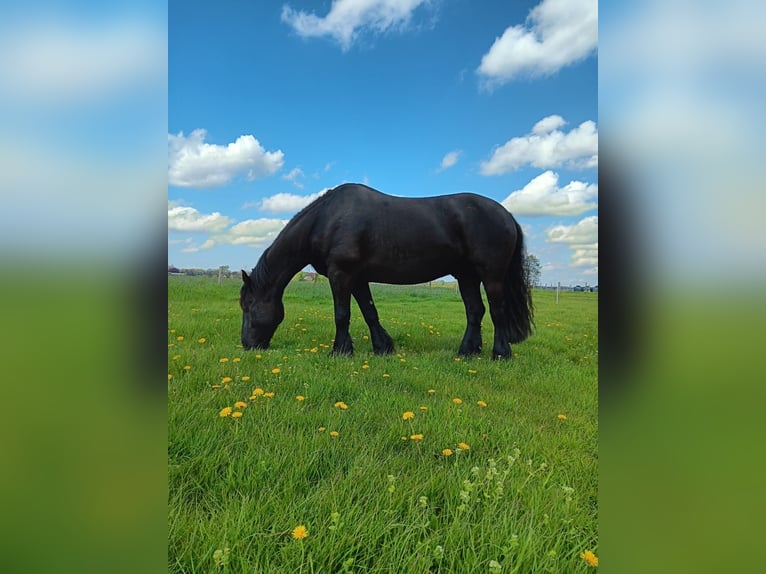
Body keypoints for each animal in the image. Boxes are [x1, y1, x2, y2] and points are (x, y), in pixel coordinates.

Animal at [240, 184, 536, 360]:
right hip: (467, 276)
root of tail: (507, 215)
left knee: (497, 311)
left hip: (491, 275)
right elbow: (369, 312)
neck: (327, 219)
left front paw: (340, 351)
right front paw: (383, 347)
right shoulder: (358, 278)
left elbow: (342, 314)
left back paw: (500, 353)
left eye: (249, 305)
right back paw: (466, 352)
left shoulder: (341, 274)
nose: (247, 345)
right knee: (475, 311)